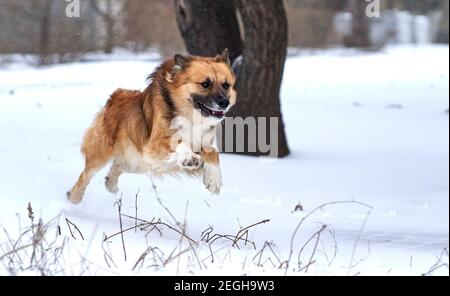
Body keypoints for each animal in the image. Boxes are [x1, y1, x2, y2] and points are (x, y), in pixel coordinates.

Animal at [67, 49, 236, 205]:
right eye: (205, 84)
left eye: (226, 85)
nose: (224, 102)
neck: (191, 117)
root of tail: (116, 96)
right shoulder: (154, 146)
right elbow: (179, 142)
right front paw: (189, 158)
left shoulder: (202, 144)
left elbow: (213, 153)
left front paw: (214, 179)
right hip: (103, 154)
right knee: (85, 175)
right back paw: (73, 198)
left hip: (137, 163)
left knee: (117, 166)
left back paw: (110, 184)